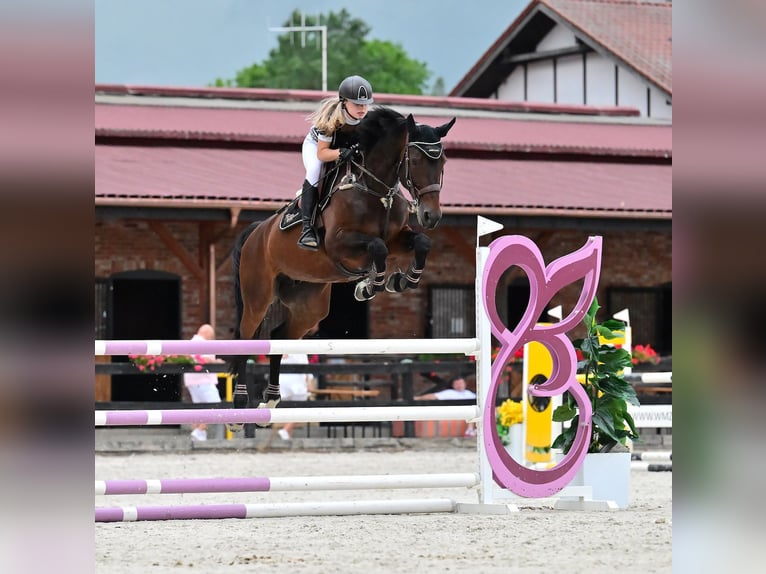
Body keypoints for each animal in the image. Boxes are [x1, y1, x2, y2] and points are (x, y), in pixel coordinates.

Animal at [228, 108, 456, 428]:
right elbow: (378, 247)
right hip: (257, 296)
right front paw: (372, 284)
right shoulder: (340, 244)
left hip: (309, 305)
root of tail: (256, 231)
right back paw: (239, 408)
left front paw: (399, 281)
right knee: (245, 339)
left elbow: (420, 242)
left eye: (443, 162)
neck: (376, 190)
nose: (430, 216)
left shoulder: (399, 238)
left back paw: (270, 400)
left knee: (278, 337)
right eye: (416, 160)